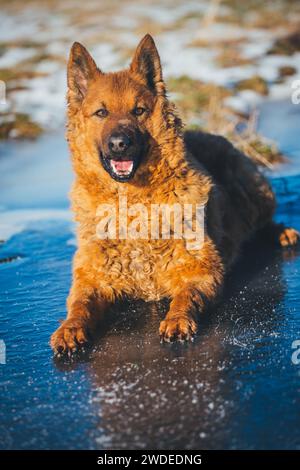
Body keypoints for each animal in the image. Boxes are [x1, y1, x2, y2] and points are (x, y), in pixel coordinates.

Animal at [50, 34, 298, 356]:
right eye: (101, 113)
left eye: (138, 111)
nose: (119, 144)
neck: (132, 203)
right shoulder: (91, 279)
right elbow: (79, 305)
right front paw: (69, 329)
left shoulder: (200, 270)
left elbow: (185, 296)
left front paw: (176, 319)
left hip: (249, 186)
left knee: (263, 220)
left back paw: (282, 233)